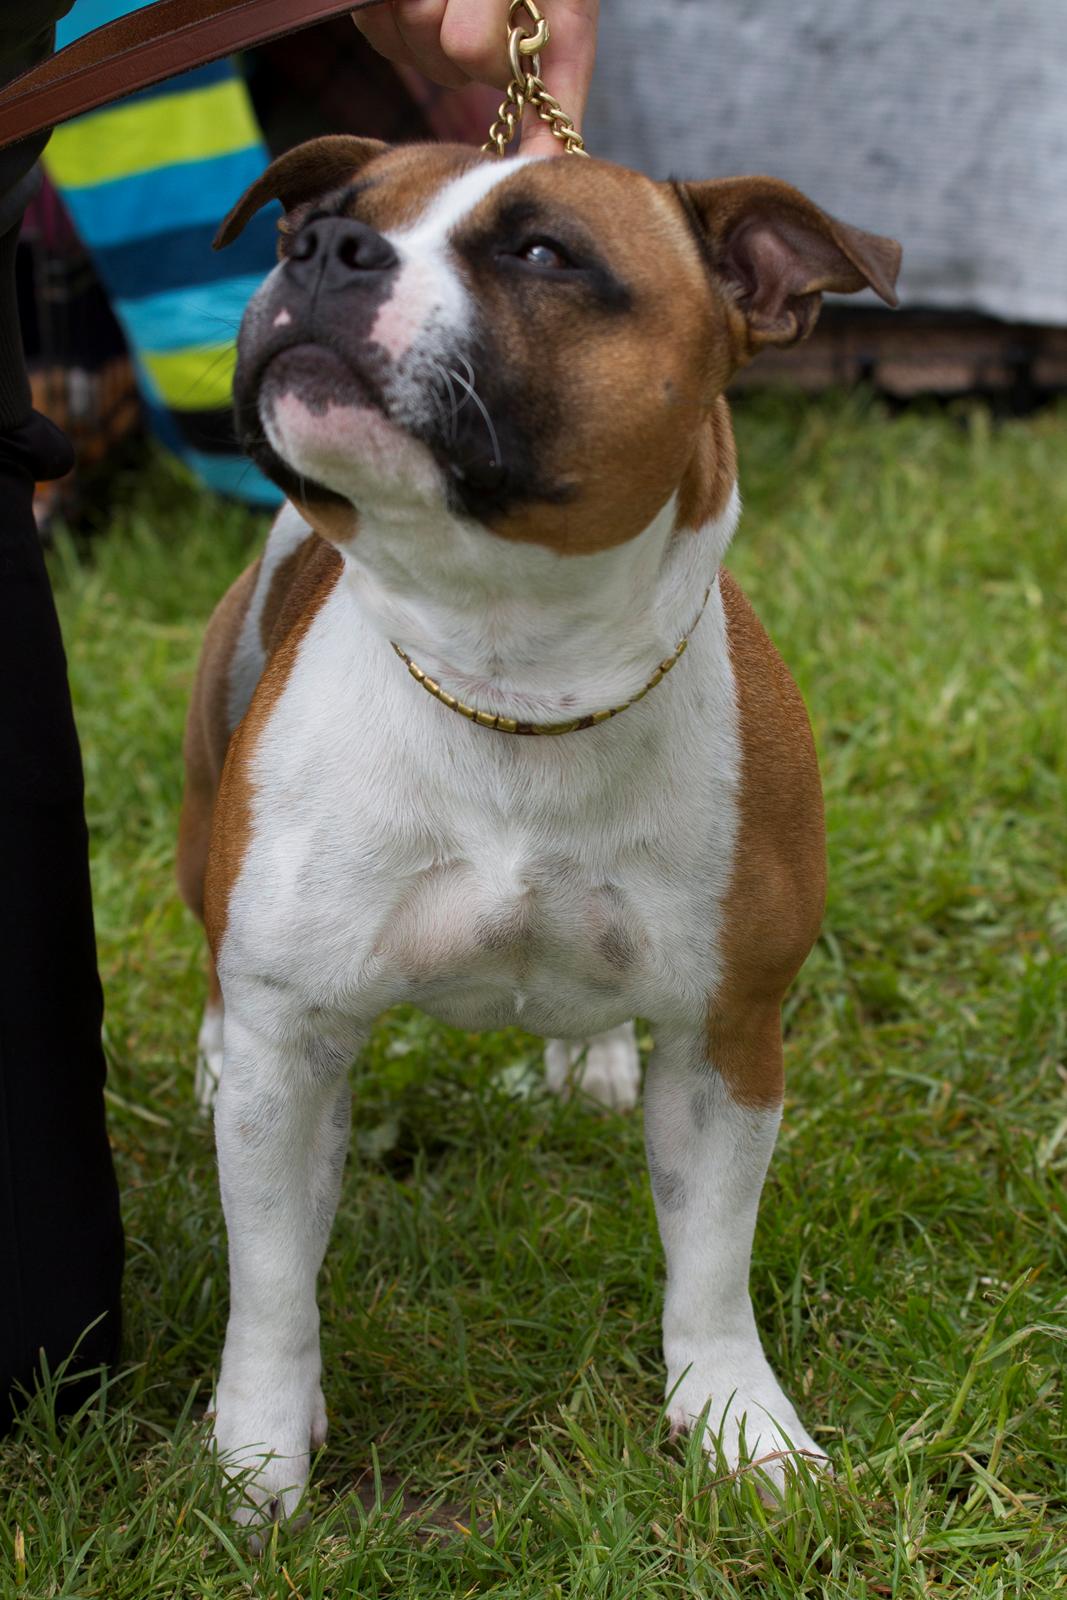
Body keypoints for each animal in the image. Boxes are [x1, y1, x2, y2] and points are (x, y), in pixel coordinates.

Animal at [177, 140, 902, 1523]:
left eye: (541, 253)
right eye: (321, 220)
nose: (320, 252)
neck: (515, 675)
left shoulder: (726, 1034)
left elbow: (709, 1264)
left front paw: (735, 1419)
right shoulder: (293, 1047)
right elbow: (271, 1282)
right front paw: (258, 1456)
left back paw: (590, 1059)